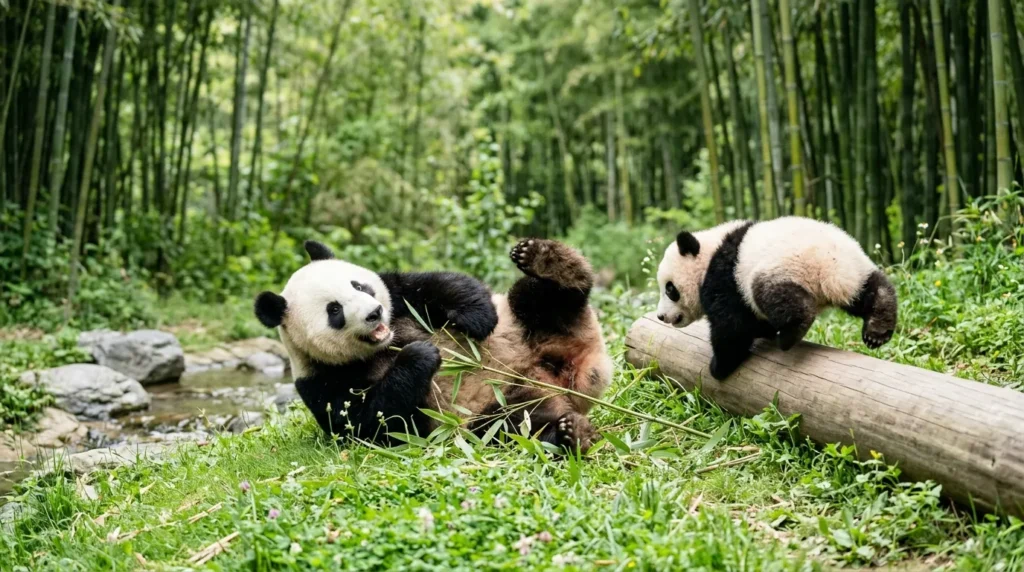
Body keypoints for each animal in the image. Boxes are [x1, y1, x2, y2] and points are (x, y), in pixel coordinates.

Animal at [254, 238, 612, 451]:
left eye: (360, 286)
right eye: (334, 310)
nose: (374, 313)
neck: (387, 343)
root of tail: (575, 377)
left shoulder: (400, 297)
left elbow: (443, 285)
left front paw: (475, 318)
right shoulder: (322, 380)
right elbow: (370, 423)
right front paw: (421, 355)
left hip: (528, 323)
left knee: (540, 299)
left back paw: (551, 263)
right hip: (499, 407)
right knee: (517, 428)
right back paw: (573, 433)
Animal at [655, 216, 897, 381]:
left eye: (670, 289)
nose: (661, 316)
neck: (707, 257)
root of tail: (831, 267)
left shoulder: (725, 279)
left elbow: (731, 327)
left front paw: (719, 367)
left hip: (782, 267)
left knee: (777, 297)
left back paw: (789, 335)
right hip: (855, 269)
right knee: (875, 289)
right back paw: (877, 331)